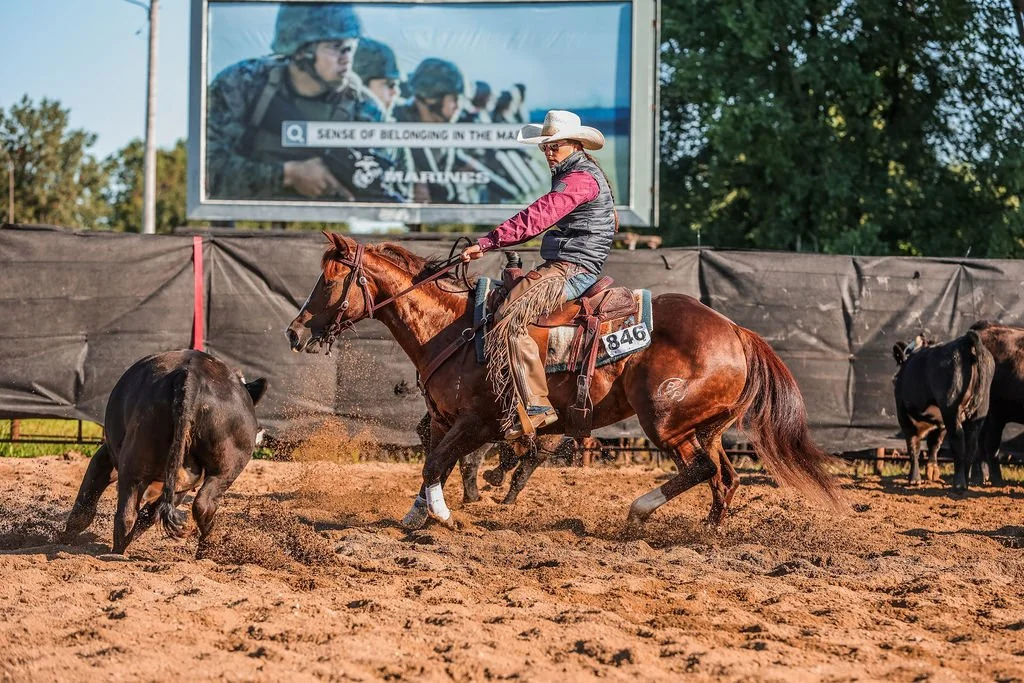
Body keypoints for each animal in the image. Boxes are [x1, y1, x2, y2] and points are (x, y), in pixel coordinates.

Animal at [62, 350, 267, 554]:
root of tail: (192, 376)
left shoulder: (107, 457)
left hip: (140, 465)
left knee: (130, 516)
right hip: (223, 468)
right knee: (201, 505)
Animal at [286, 233, 844, 531]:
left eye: (329, 280)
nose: (295, 331)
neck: (455, 327)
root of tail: (735, 330)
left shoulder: (479, 422)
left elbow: (439, 462)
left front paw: (443, 516)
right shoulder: (445, 420)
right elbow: (432, 462)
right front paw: (418, 513)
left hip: (666, 423)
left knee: (702, 470)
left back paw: (641, 509)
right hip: (702, 426)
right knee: (723, 476)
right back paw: (707, 532)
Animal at [892, 330, 994, 491]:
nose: (894, 379)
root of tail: (964, 342)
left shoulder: (903, 415)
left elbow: (913, 445)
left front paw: (914, 478)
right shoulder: (940, 422)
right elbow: (934, 444)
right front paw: (932, 470)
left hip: (951, 410)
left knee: (958, 440)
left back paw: (959, 484)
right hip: (979, 411)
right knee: (971, 444)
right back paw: (965, 480)